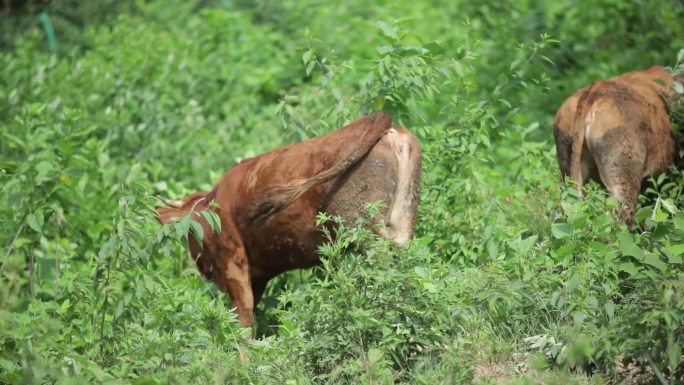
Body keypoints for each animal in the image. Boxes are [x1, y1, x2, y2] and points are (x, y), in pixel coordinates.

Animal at [157, 112, 420, 326]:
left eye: (190, 232)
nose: (203, 269)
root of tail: (381, 120)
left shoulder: (233, 260)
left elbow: (243, 316)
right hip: (402, 222)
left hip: (364, 227)